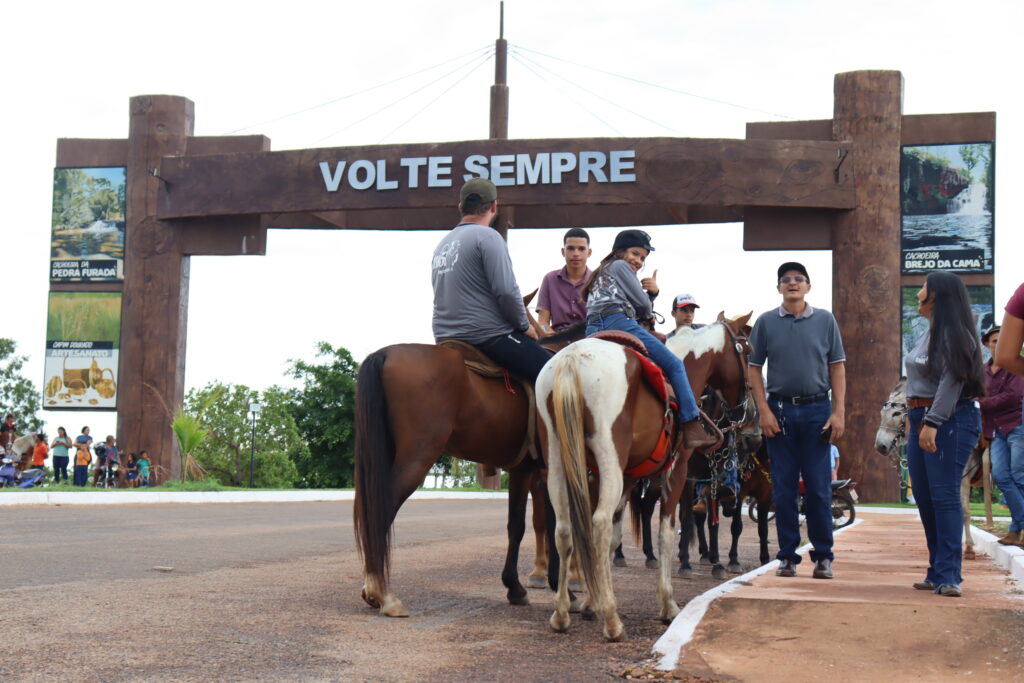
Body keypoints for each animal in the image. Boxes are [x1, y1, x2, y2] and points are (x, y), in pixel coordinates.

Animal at [537, 313, 752, 641]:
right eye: (747, 352)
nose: (745, 408)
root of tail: (572, 358)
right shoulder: (676, 472)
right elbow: (666, 533)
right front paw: (667, 605)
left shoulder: (624, 479)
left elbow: (614, 539)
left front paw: (591, 602)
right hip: (608, 458)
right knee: (598, 523)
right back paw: (612, 622)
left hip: (559, 461)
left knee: (565, 529)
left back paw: (561, 614)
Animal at [875, 378, 981, 559]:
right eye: (882, 413)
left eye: (896, 414)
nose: (880, 446)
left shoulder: (962, 477)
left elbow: (965, 511)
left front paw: (968, 548)